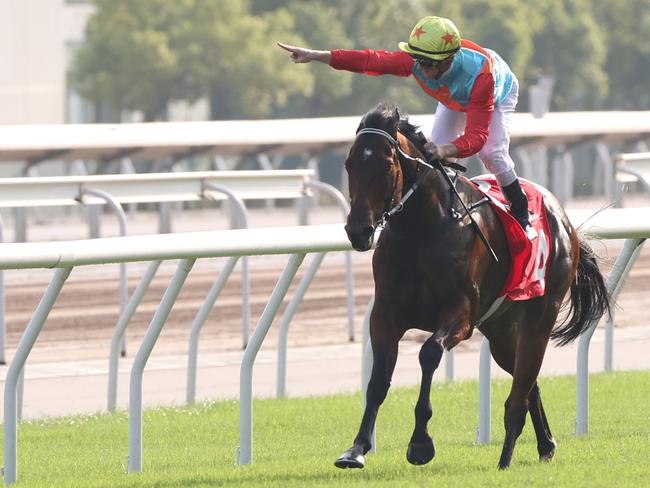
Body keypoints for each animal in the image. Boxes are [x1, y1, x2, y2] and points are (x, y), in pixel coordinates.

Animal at [336, 102, 612, 468]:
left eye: (385, 165)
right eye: (349, 163)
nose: (358, 230)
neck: (421, 229)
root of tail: (565, 220)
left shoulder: (461, 314)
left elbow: (429, 353)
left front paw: (420, 442)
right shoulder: (385, 313)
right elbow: (378, 379)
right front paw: (356, 448)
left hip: (540, 314)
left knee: (522, 387)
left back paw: (507, 457)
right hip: (499, 330)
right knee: (528, 381)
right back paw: (546, 444)